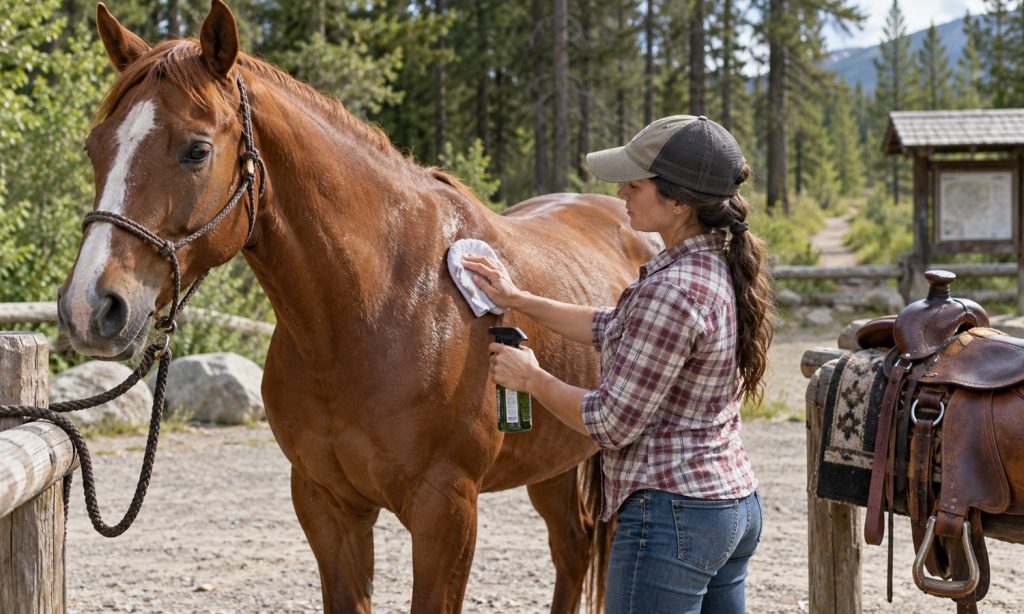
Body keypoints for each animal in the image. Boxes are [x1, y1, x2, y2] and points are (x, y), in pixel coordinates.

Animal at [58, 2, 659, 611]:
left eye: (196, 150)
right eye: (94, 147)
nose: (90, 307)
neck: (372, 311)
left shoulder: (447, 511)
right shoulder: (327, 504)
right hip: (553, 462)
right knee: (573, 547)